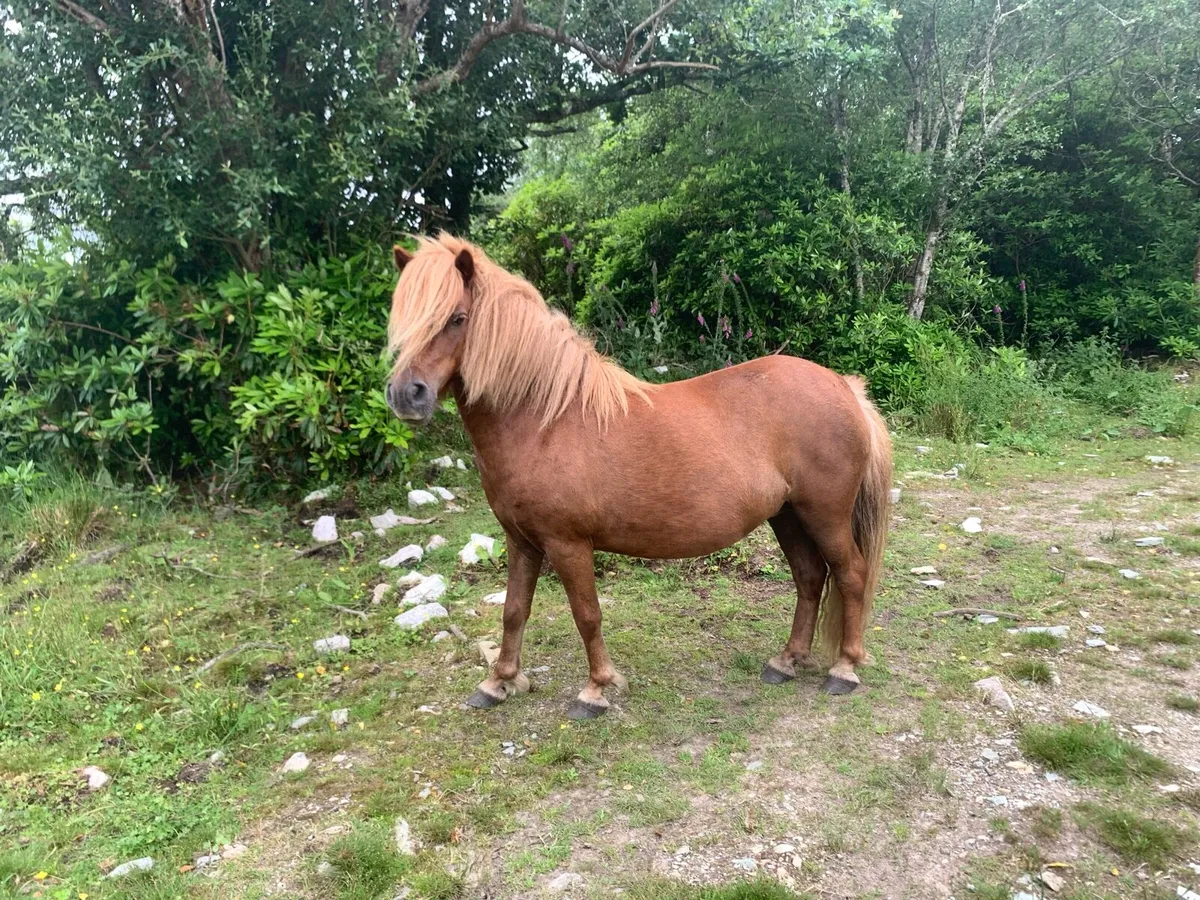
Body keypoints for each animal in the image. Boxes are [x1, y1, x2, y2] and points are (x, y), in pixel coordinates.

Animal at [385, 233, 893, 719]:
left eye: (457, 317)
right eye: (402, 319)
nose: (405, 395)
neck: (545, 420)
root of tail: (844, 386)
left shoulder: (567, 544)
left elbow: (587, 614)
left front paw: (596, 690)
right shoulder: (521, 540)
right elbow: (514, 611)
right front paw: (499, 682)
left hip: (824, 514)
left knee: (850, 575)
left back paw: (844, 669)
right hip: (787, 515)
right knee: (809, 578)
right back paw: (785, 662)